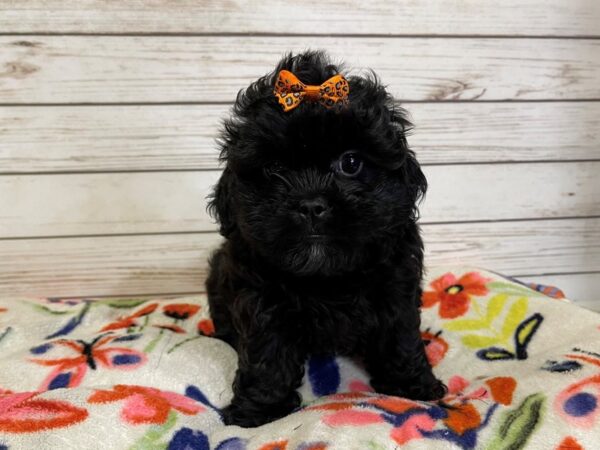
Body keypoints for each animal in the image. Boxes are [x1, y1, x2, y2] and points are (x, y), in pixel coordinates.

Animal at [206, 51, 446, 428]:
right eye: (273, 169)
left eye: (351, 162)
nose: (311, 205)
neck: (326, 277)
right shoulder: (259, 295)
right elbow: (266, 351)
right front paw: (259, 410)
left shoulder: (396, 282)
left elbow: (400, 336)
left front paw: (413, 386)